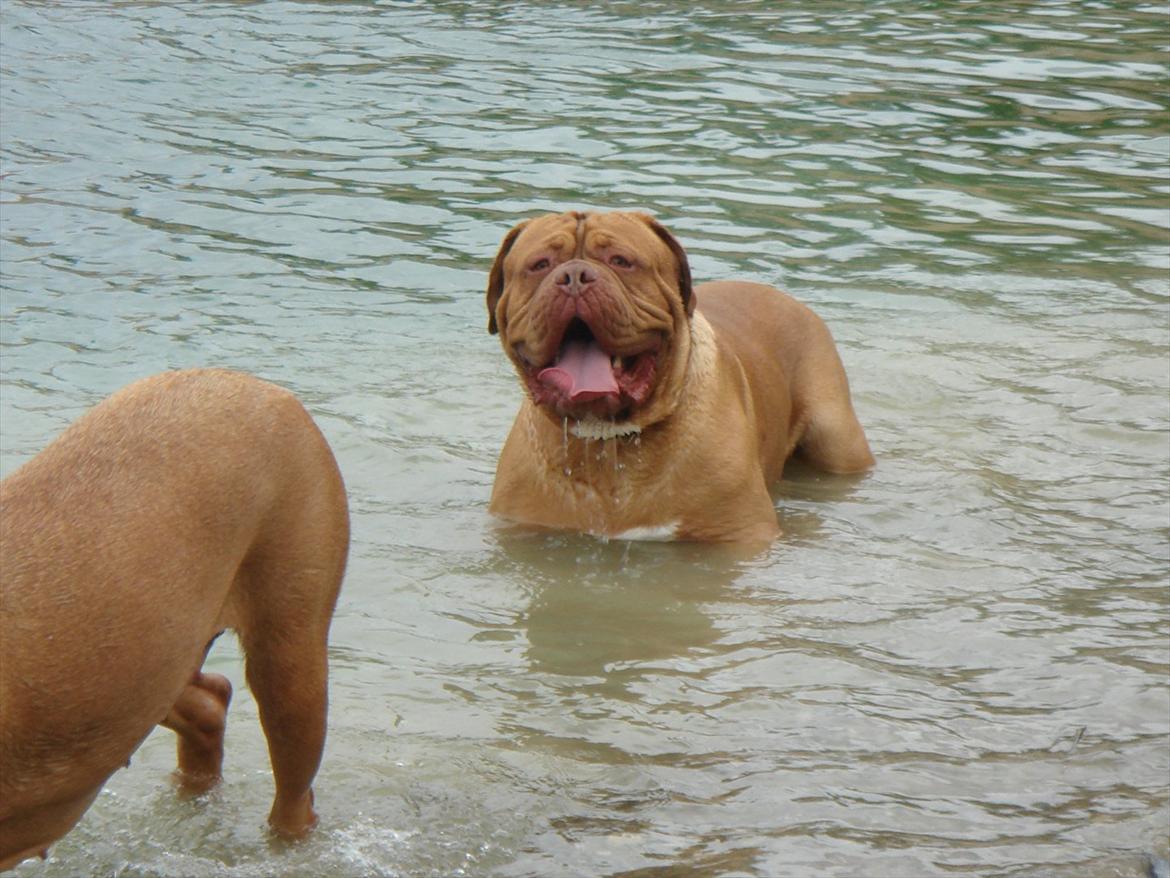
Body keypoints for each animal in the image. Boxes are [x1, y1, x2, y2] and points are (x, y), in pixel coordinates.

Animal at [486, 213, 879, 543]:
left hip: (836, 437)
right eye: (539, 265)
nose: (574, 276)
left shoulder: (741, 534)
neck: (608, 444)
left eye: (621, 261)